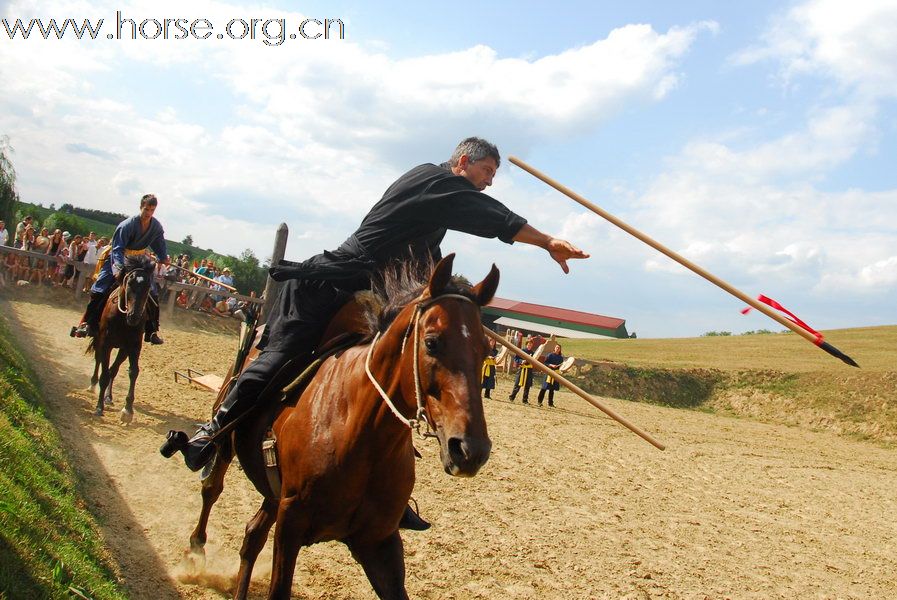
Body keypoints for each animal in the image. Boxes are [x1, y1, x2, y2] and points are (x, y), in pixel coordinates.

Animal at [87, 254, 154, 422]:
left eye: (148, 286)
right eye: (129, 283)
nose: (134, 316)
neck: (122, 318)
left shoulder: (133, 346)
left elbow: (133, 372)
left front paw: (128, 410)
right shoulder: (105, 344)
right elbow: (104, 374)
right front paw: (99, 407)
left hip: (123, 350)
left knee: (114, 369)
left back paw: (108, 397)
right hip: (99, 341)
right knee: (98, 361)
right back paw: (93, 384)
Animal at [186, 255, 500, 596]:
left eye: (486, 350)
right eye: (431, 342)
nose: (470, 450)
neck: (362, 434)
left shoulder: (379, 542)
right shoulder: (290, 525)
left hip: (274, 494)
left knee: (252, 534)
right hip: (228, 444)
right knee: (212, 488)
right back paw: (196, 545)